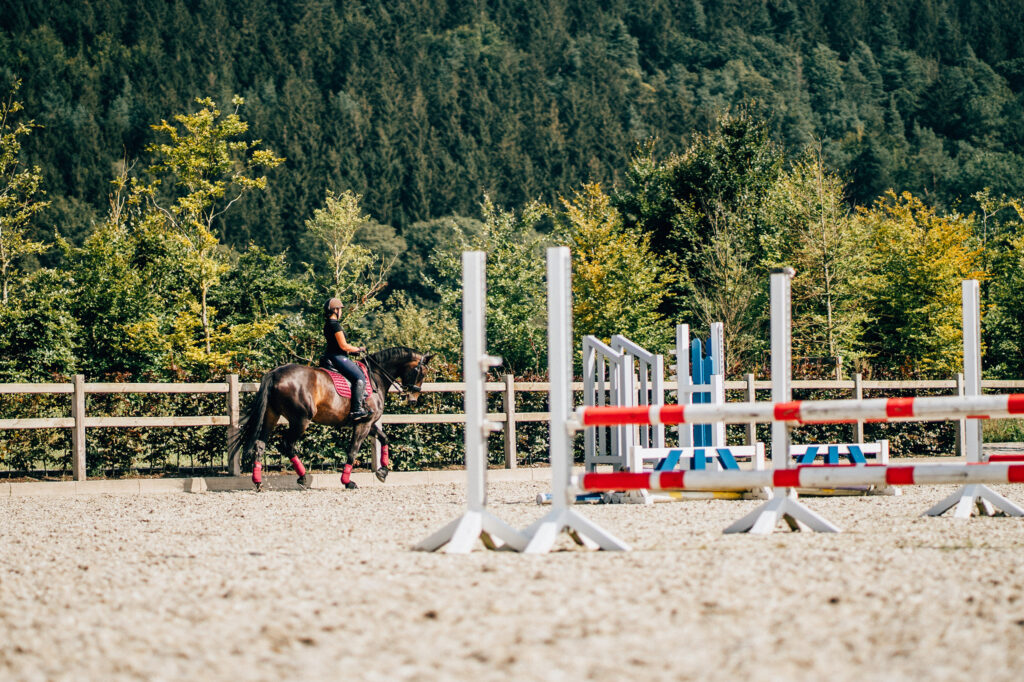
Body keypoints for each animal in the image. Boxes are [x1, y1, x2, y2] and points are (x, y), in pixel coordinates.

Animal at [229, 346, 432, 489]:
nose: (413, 398)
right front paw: (347, 481)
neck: (375, 377)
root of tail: (275, 373)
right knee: (287, 444)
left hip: (272, 415)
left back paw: (257, 481)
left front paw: (383, 472)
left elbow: (384, 438)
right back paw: (303, 477)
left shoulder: (368, 423)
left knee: (260, 444)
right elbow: (352, 451)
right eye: (421, 372)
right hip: (301, 420)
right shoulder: (363, 424)